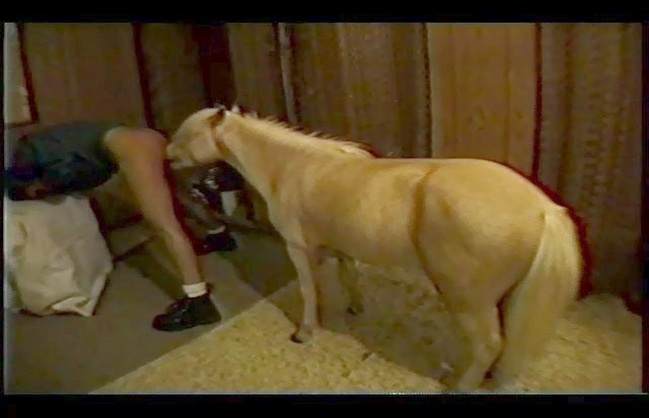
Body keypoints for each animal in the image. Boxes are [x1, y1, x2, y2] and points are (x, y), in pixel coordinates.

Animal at [166, 105, 584, 391]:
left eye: (187, 134)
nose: (167, 158)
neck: (292, 167)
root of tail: (544, 209)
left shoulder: (298, 248)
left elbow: (308, 290)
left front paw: (305, 332)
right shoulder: (342, 246)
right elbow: (348, 275)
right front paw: (354, 308)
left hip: (469, 301)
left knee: (489, 344)